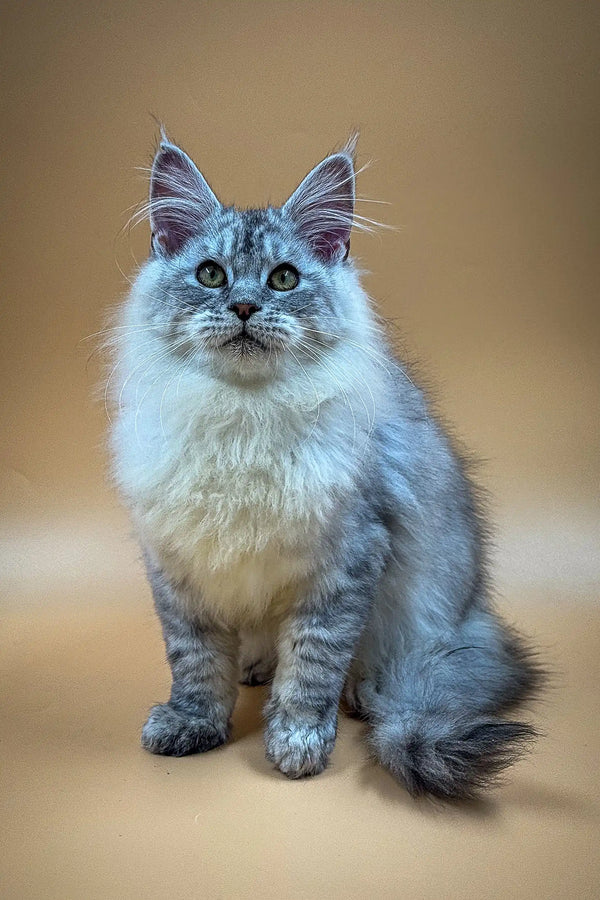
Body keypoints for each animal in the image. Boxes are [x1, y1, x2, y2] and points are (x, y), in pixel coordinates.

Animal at [109, 132, 544, 796]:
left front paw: (297, 741)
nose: (243, 305)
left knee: (401, 669)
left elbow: (312, 666)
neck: (243, 420)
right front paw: (193, 724)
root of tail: (474, 621)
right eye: (211, 274)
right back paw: (256, 668)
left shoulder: (345, 560)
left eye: (284, 279)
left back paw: (369, 694)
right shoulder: (180, 567)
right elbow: (196, 664)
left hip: (422, 622)